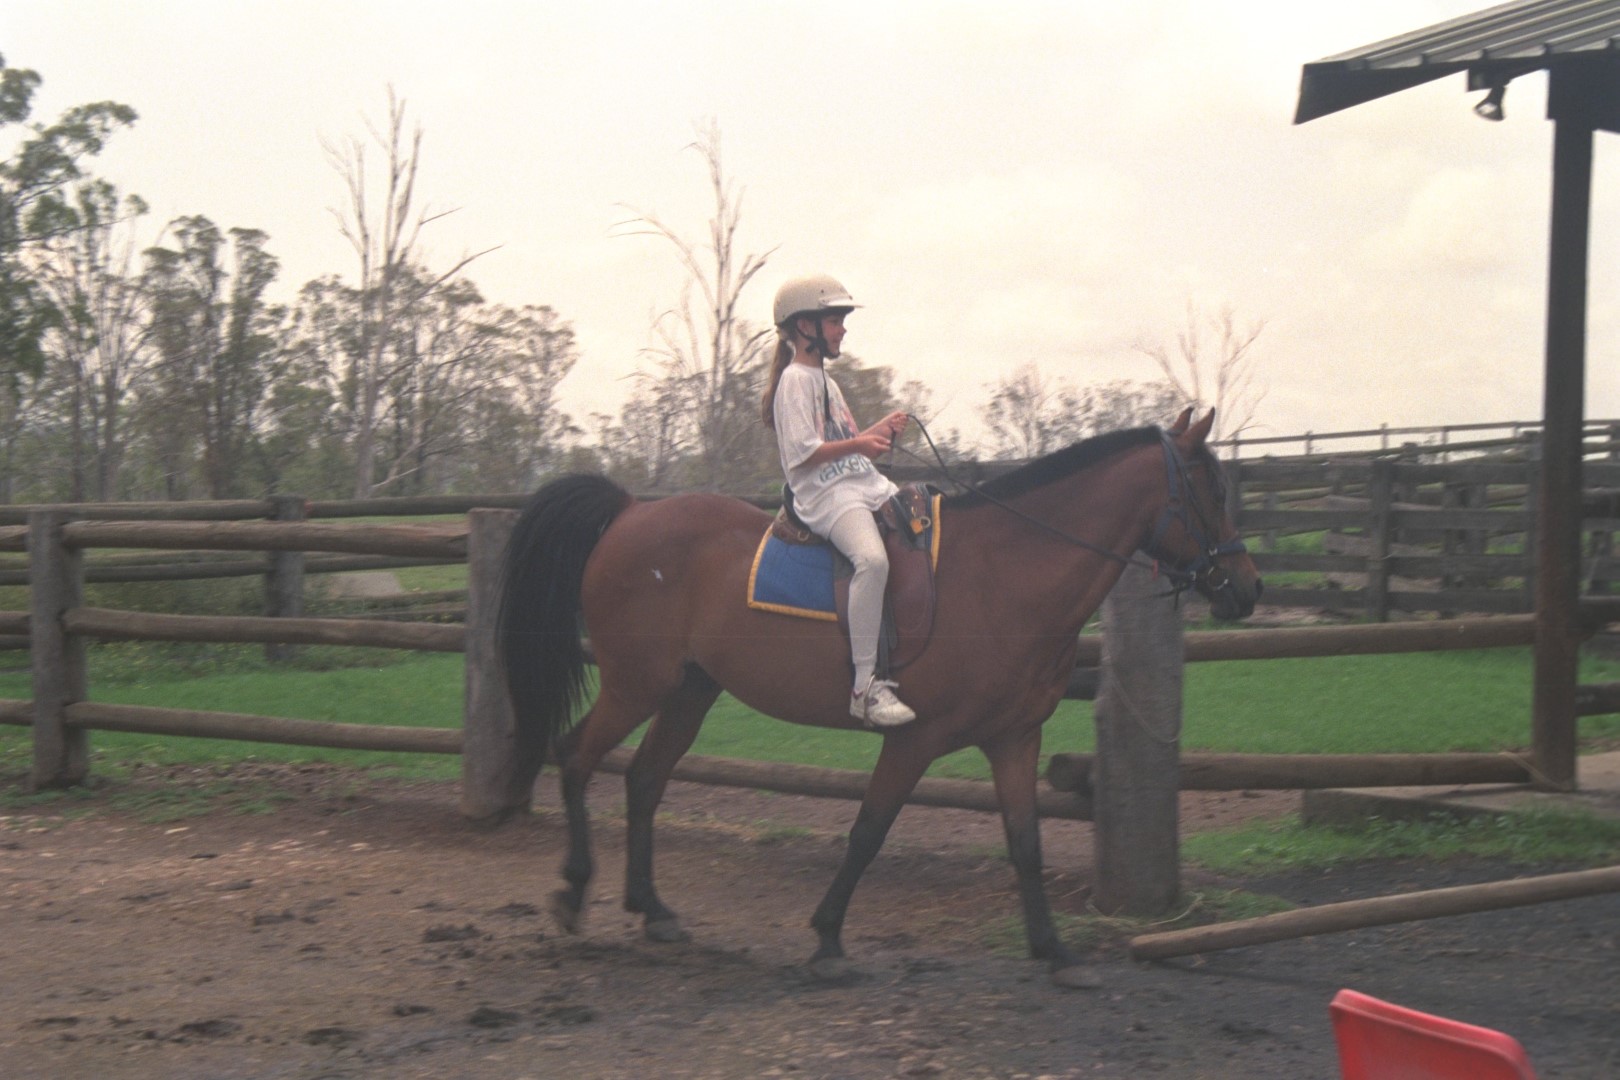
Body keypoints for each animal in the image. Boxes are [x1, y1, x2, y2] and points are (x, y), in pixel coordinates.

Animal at [497, 408, 1261, 989]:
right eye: (1210, 489)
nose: (1247, 589)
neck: (1005, 575)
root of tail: (630, 512)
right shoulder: (914, 739)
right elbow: (868, 831)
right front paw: (828, 939)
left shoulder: (1014, 738)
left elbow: (1026, 843)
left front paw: (1055, 951)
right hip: (637, 683)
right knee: (575, 758)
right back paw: (574, 891)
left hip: (690, 690)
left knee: (645, 780)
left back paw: (652, 909)